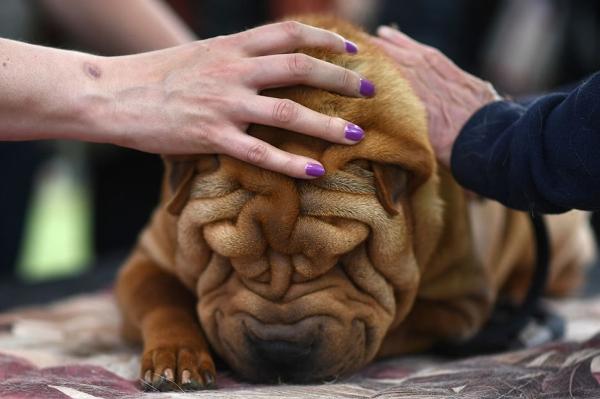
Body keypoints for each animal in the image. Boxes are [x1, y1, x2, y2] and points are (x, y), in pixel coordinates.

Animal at [116, 15, 596, 390]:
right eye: (226, 259)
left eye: (346, 259)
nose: (280, 347)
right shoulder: (149, 258)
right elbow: (161, 298)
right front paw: (176, 358)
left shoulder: (459, 303)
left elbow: (394, 326)